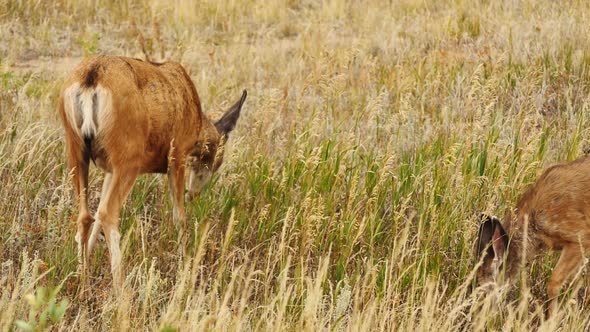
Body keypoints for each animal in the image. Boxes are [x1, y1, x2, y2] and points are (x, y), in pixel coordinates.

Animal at [57, 54, 247, 290]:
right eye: (218, 159)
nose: (195, 194)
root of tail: (91, 77)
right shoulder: (177, 155)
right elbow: (179, 215)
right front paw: (186, 266)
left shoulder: (109, 169)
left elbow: (98, 210)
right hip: (129, 157)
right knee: (109, 213)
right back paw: (122, 291)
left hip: (76, 148)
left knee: (86, 215)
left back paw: (82, 283)